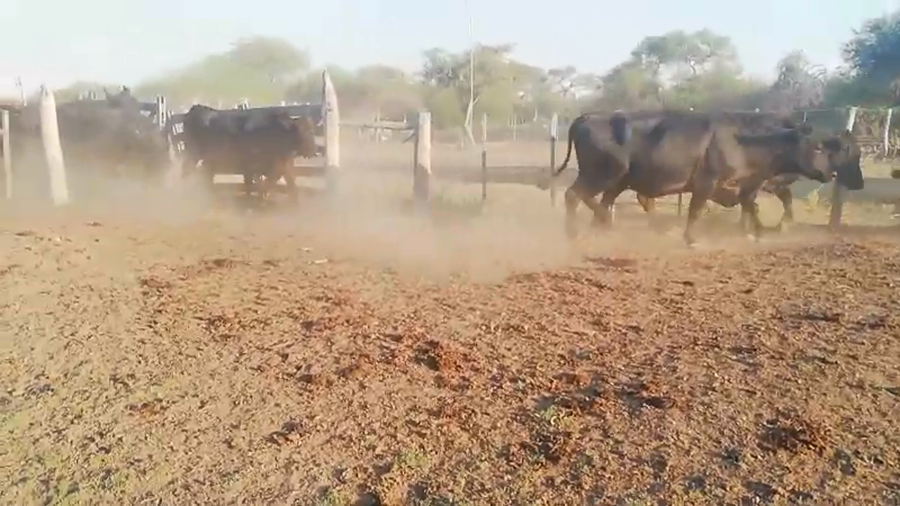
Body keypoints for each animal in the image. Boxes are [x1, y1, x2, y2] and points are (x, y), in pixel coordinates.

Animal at [180, 105, 318, 201]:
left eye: (312, 130)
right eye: (303, 132)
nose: (313, 150)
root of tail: (197, 109)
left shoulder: (281, 164)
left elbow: (288, 181)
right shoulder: (256, 165)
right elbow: (260, 182)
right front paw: (261, 196)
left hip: (207, 159)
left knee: (205, 175)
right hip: (193, 154)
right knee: (187, 170)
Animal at [542, 110, 837, 246]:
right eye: (817, 147)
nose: (832, 172)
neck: (743, 140)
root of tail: (589, 116)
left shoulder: (744, 186)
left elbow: (751, 206)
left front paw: (759, 233)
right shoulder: (707, 183)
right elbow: (695, 211)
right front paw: (691, 238)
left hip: (617, 180)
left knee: (599, 202)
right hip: (603, 175)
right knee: (575, 195)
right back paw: (577, 232)